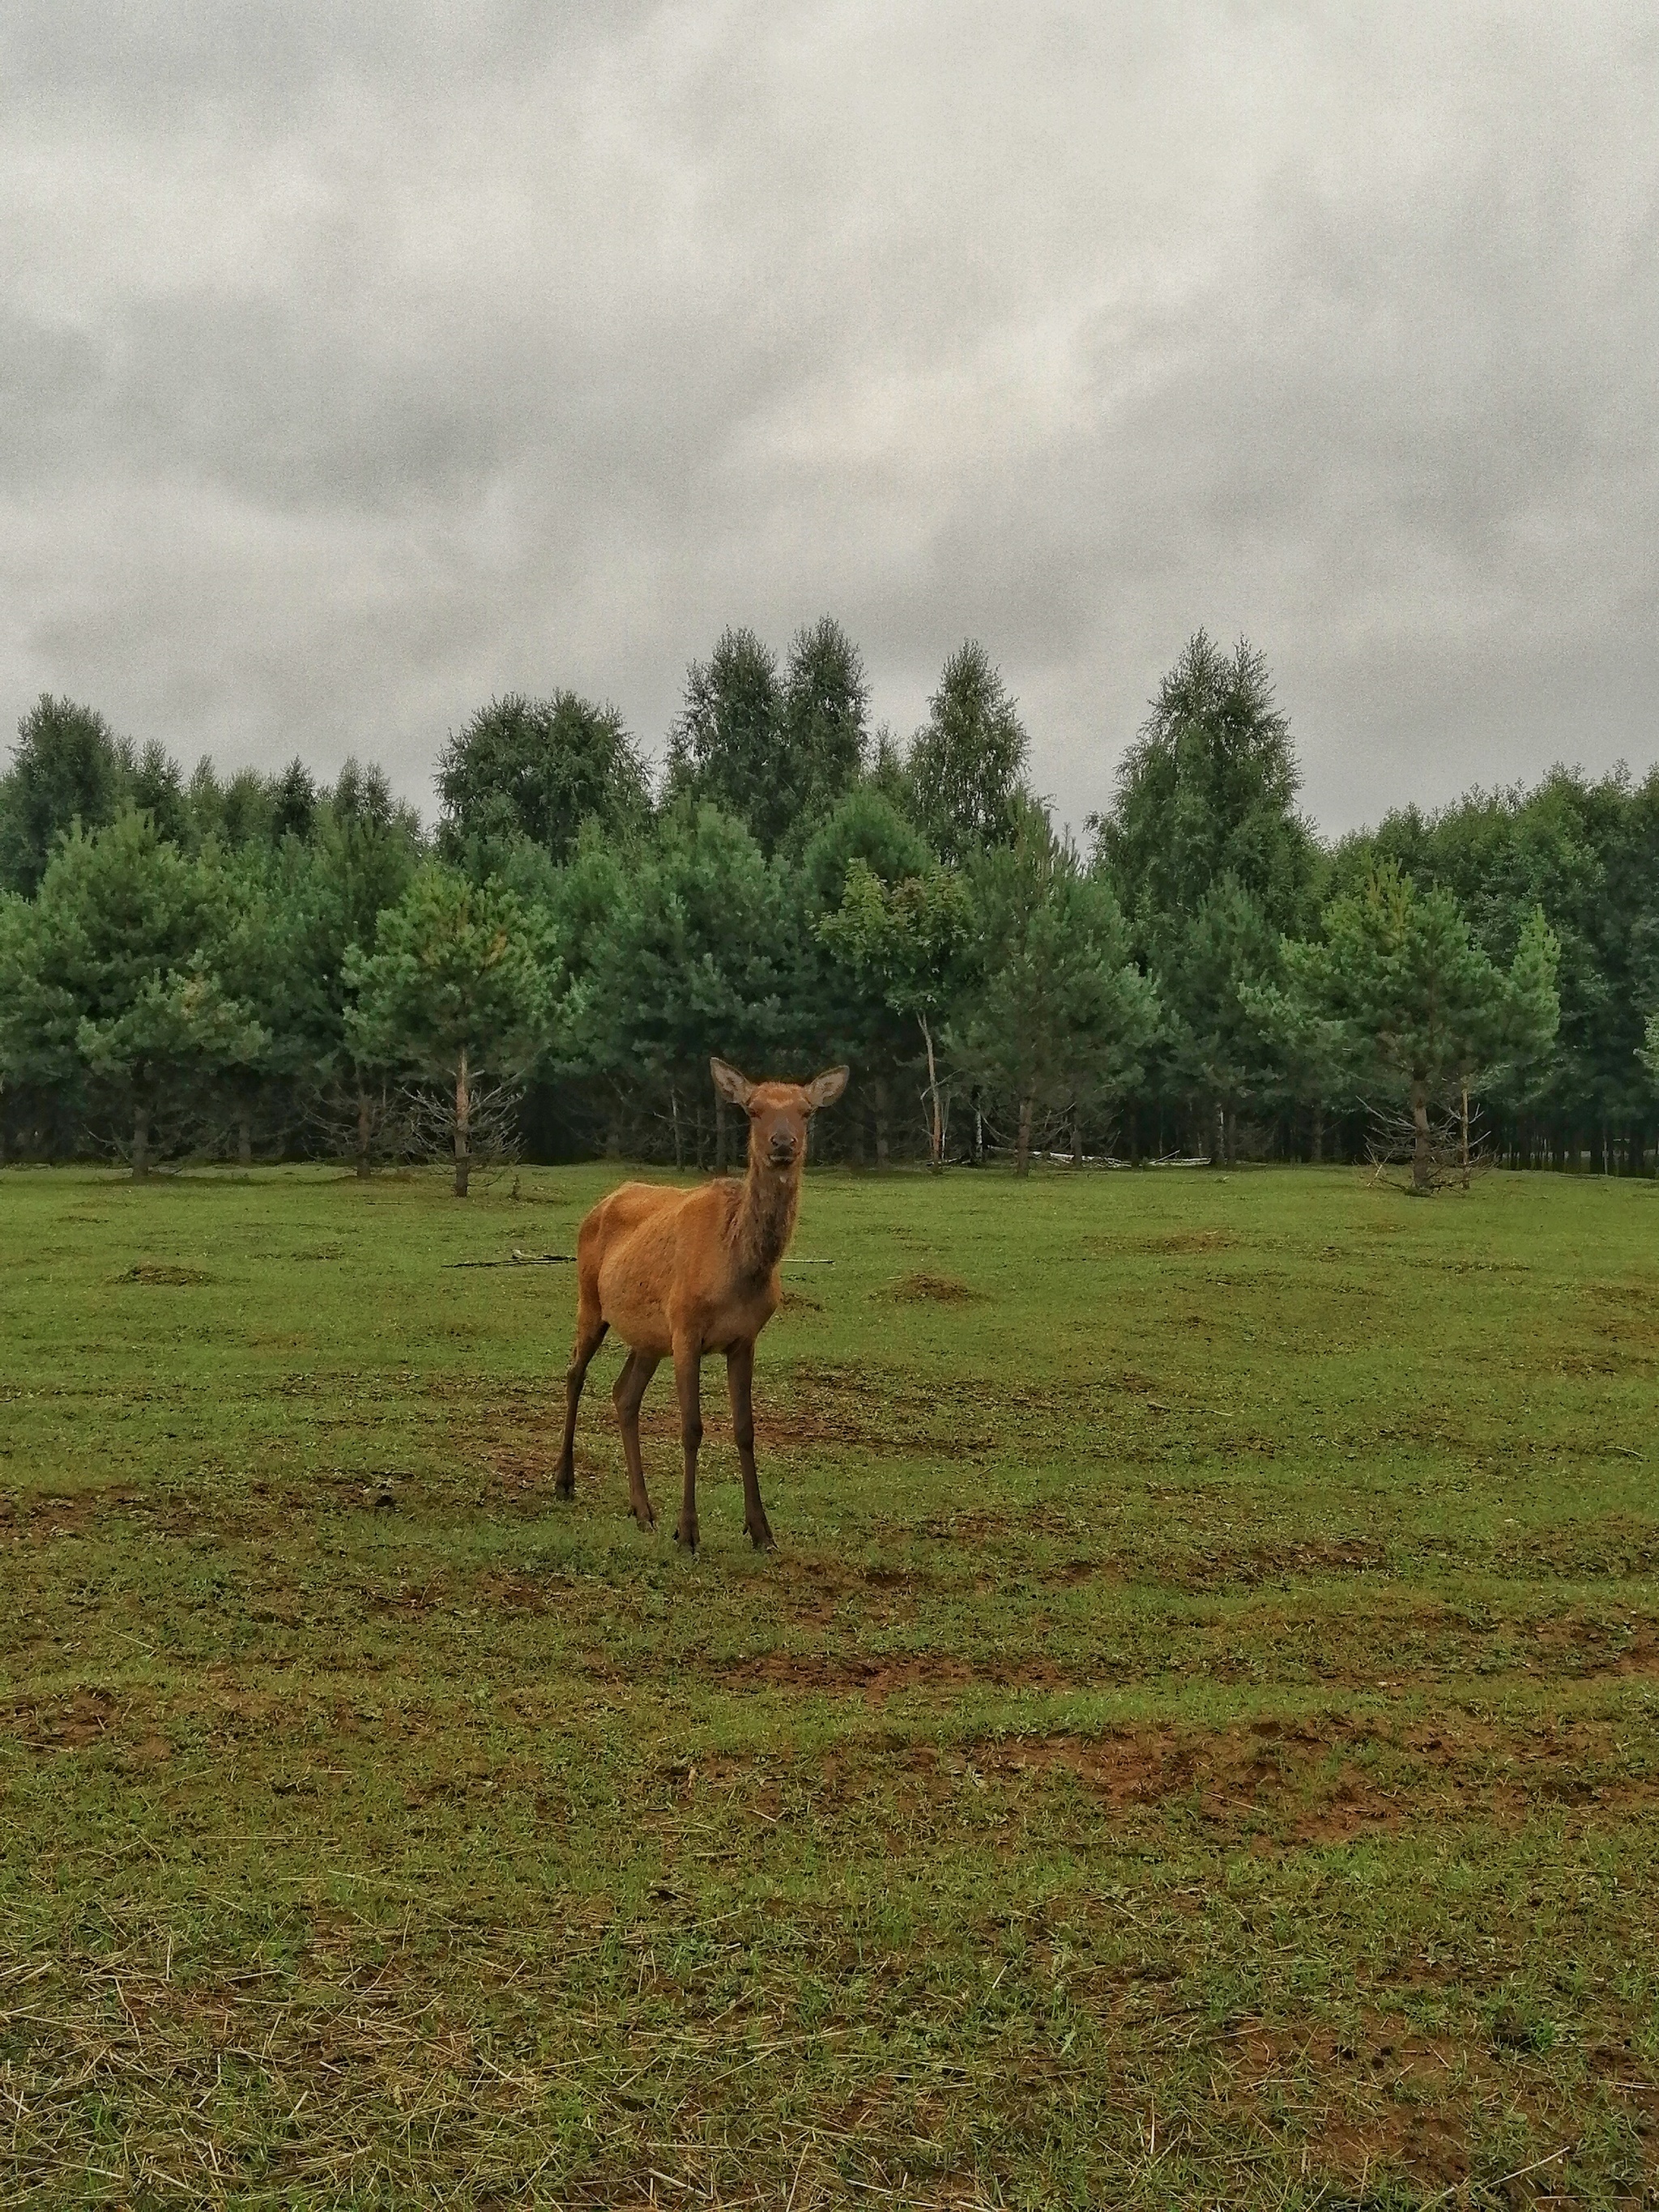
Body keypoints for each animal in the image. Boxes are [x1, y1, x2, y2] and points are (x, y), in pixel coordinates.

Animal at [559, 1057, 849, 1548]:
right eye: (753, 1109)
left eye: (806, 1111)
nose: (783, 1144)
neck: (737, 1271)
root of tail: (601, 1202)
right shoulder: (686, 1327)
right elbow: (691, 1428)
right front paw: (688, 1532)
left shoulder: (745, 1338)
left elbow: (745, 1430)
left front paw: (761, 1531)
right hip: (591, 1301)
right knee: (575, 1374)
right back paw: (564, 1482)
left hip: (648, 1337)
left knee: (624, 1395)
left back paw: (643, 1510)